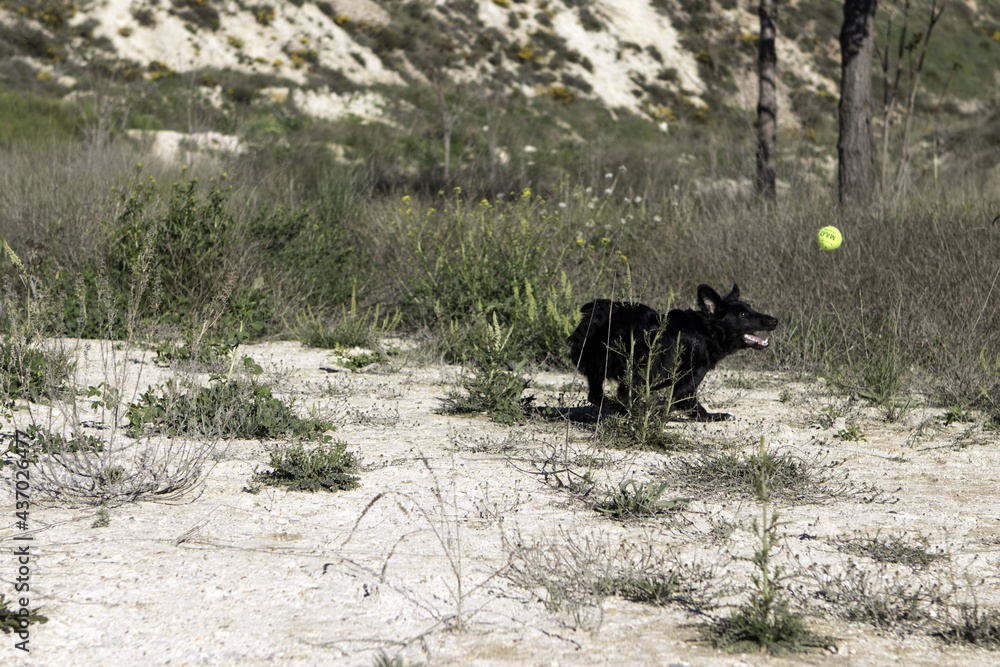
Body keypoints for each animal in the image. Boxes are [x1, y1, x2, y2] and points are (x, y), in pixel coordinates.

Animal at [568, 284, 776, 420]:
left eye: (750, 310)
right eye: (744, 315)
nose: (775, 320)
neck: (706, 331)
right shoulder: (689, 379)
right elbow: (681, 401)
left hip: (596, 369)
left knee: (597, 396)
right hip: (641, 373)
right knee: (625, 397)